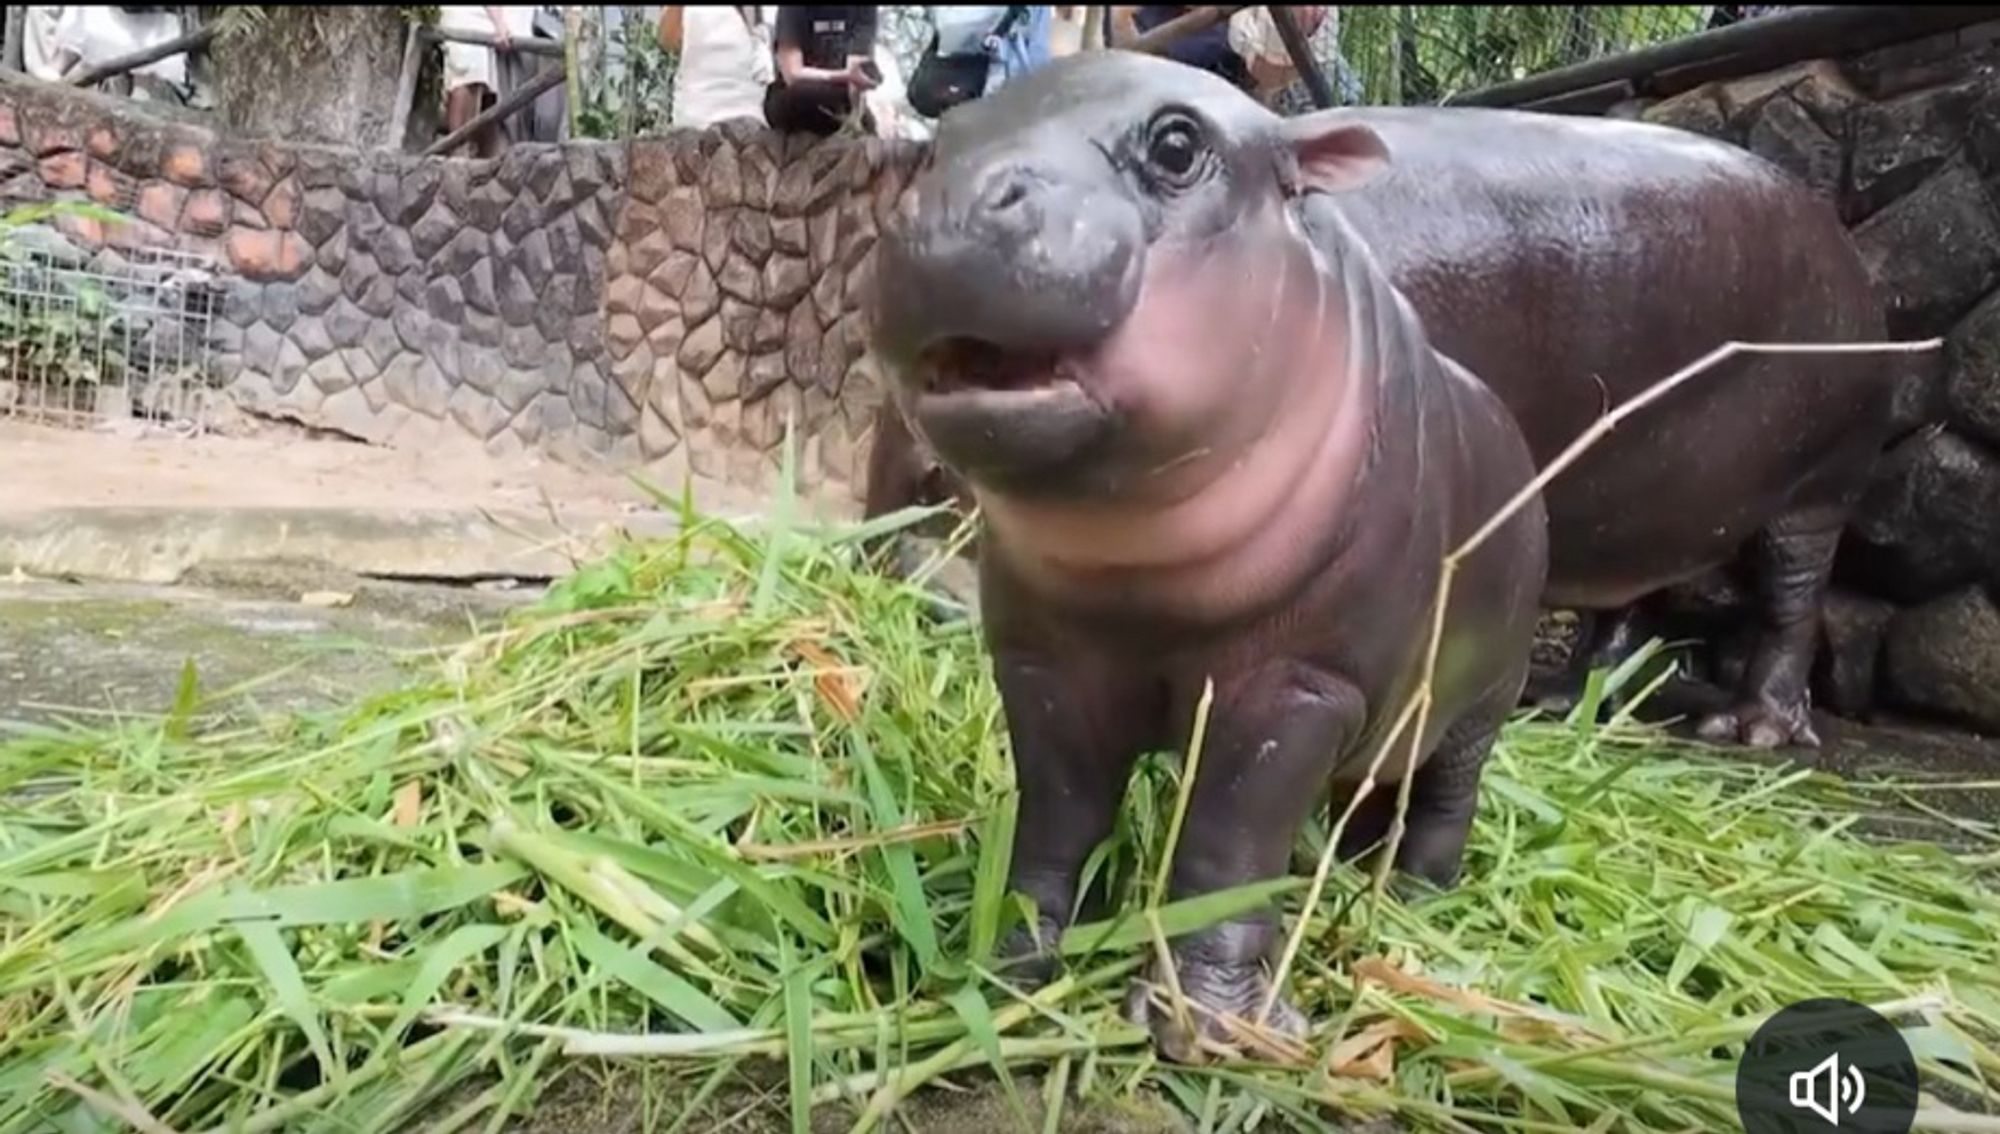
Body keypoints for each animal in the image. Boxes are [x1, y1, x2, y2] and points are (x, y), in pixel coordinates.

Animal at [860, 48, 1888, 748]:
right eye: (938, 149)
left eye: (1178, 144)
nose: (884, 569)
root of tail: (1842, 239)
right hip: (1651, 487)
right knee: (1631, 599)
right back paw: (1569, 701)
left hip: (1819, 483)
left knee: (1792, 599)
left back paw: (1750, 731)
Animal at [864, 48, 1544, 1064]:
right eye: (940, 145)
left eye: (1179, 144)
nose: (945, 211)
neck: (1136, 578)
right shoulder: (1045, 664)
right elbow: (1058, 817)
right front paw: (1013, 968)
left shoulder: (1299, 689)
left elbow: (1228, 848)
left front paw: (1209, 1026)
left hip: (1481, 702)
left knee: (1443, 798)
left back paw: (1413, 900)